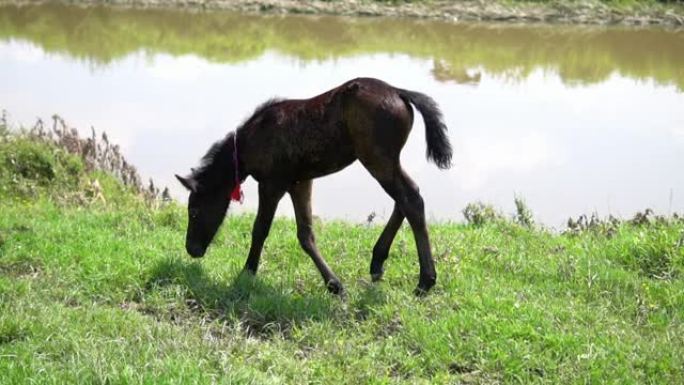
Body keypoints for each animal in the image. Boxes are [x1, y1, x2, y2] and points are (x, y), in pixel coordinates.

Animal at [176, 77, 452, 294]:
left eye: (194, 211)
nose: (192, 249)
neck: (246, 146)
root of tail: (399, 92)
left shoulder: (272, 183)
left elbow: (260, 229)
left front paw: (248, 272)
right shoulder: (300, 181)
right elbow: (305, 233)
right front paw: (334, 285)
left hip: (377, 158)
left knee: (410, 199)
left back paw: (425, 281)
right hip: (386, 160)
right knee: (405, 199)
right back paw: (377, 263)